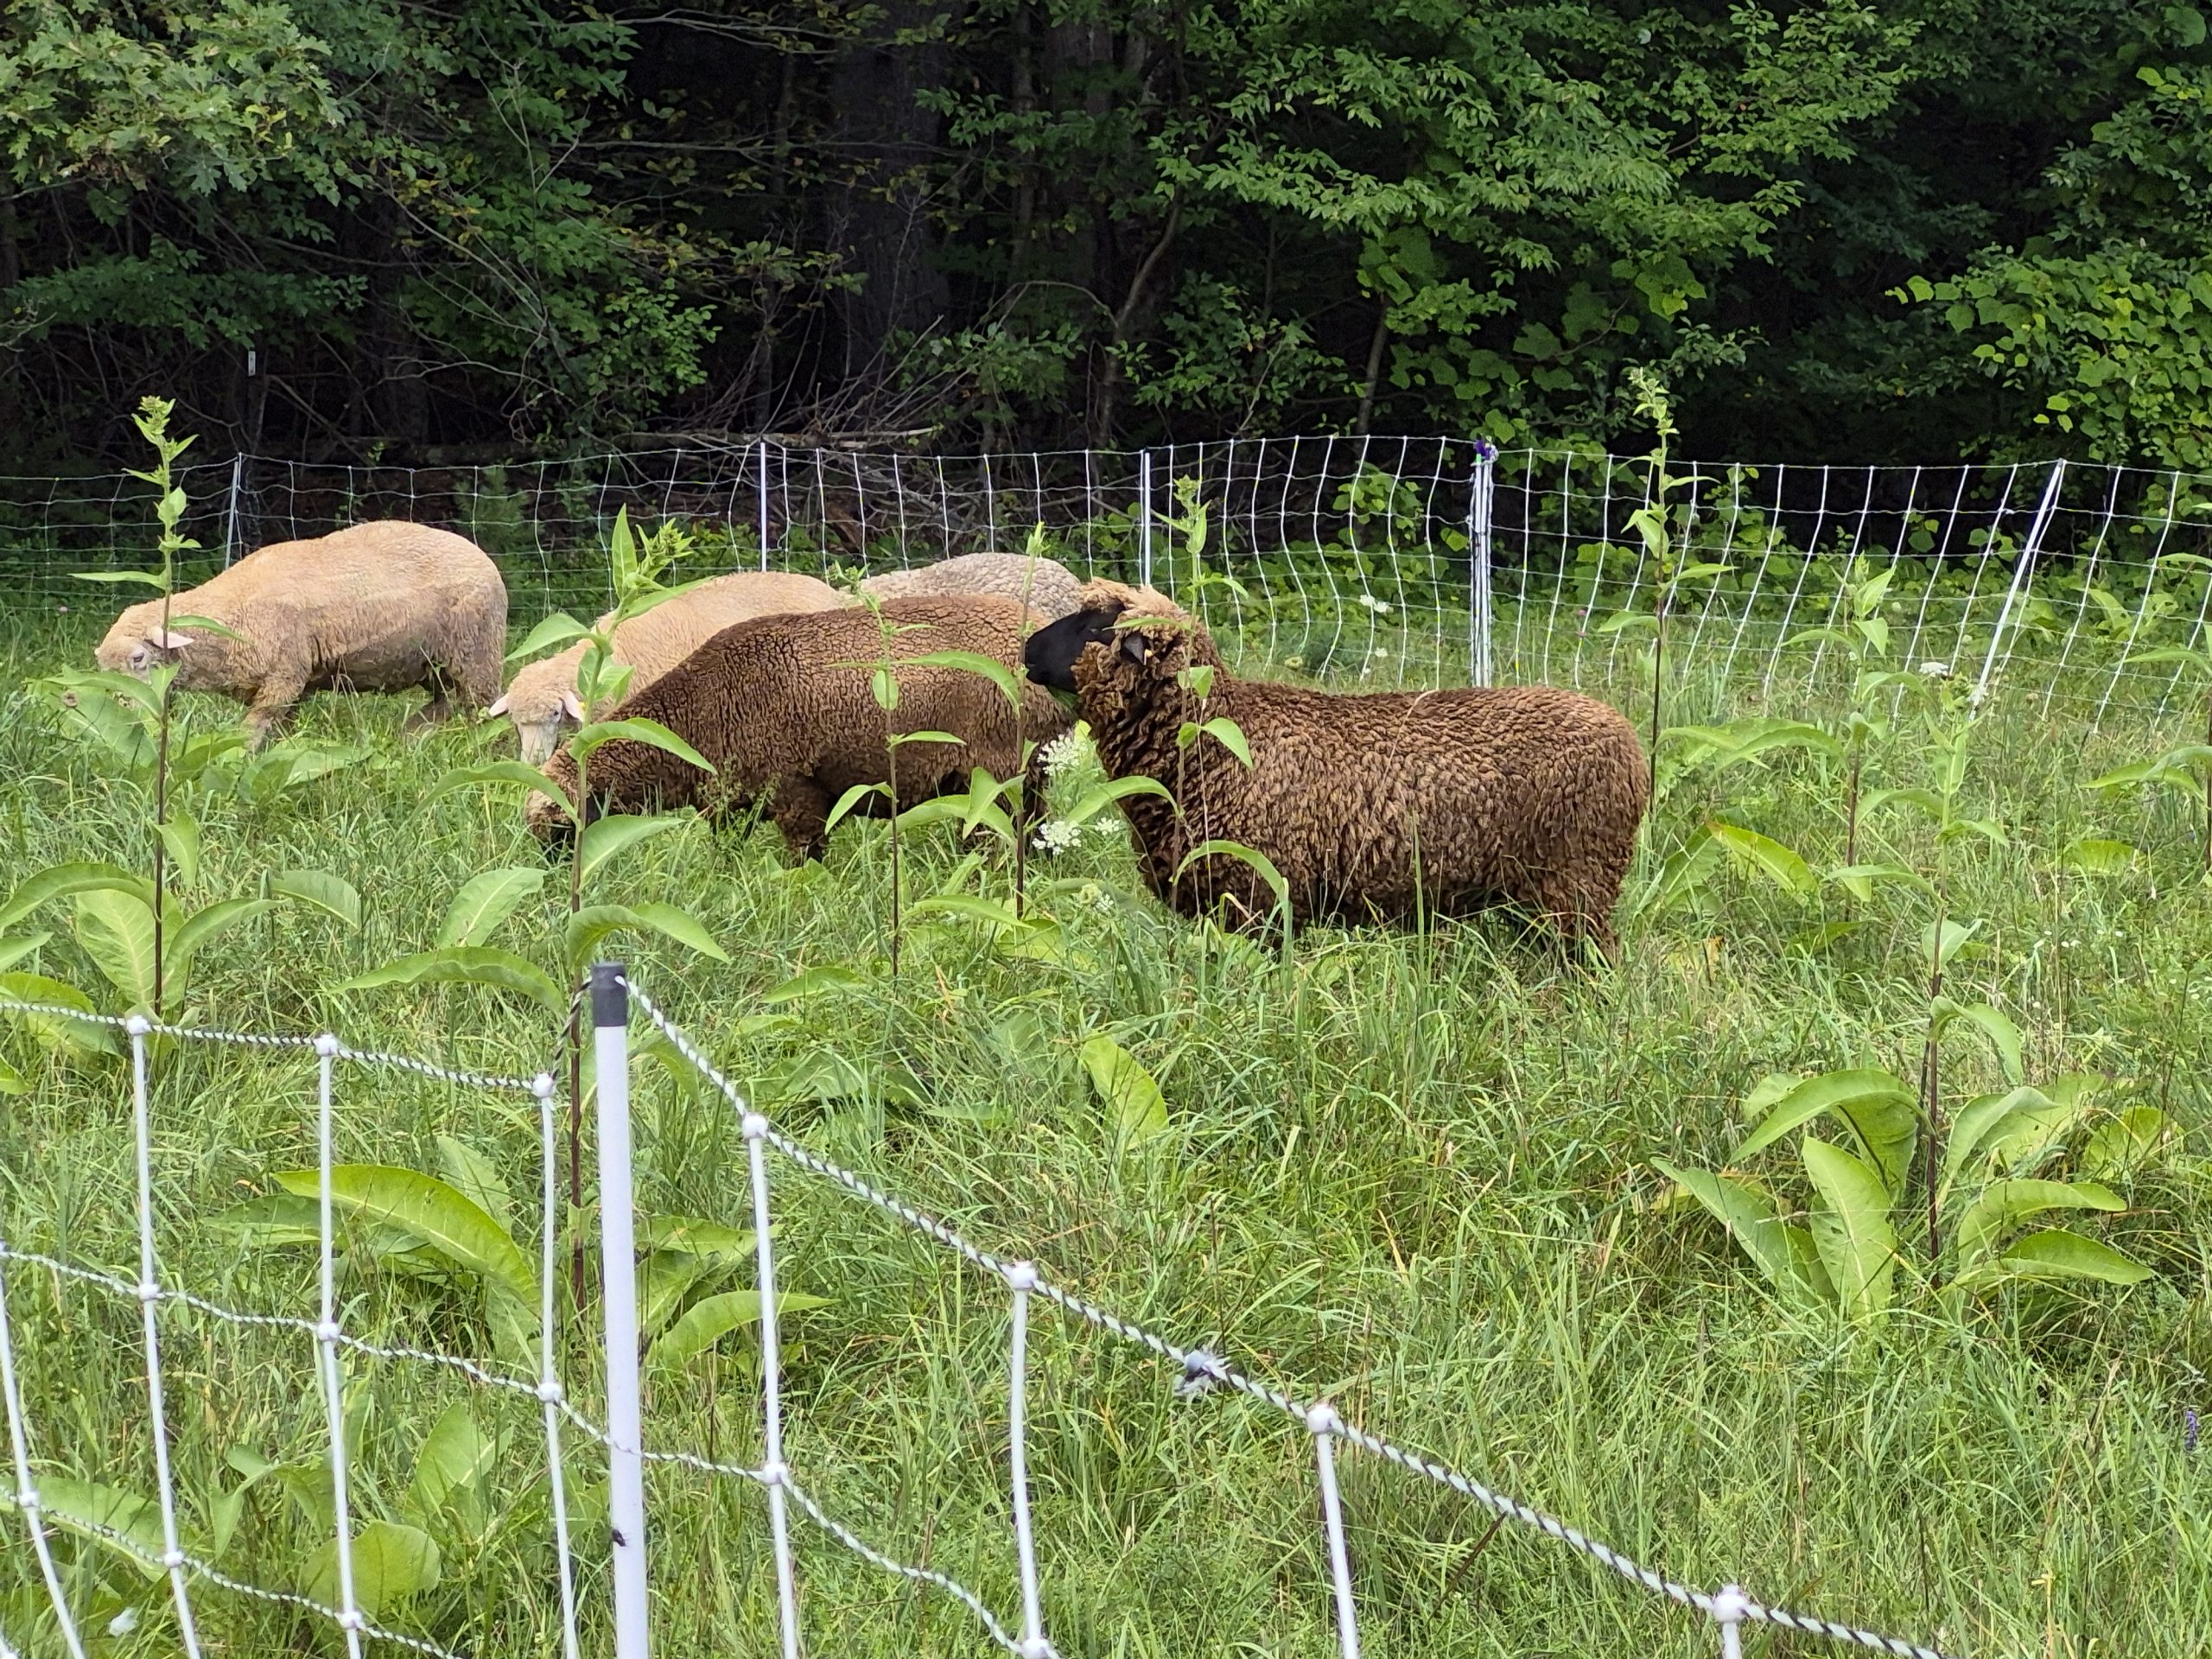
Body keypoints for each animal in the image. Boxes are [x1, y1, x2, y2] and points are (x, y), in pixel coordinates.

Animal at [94, 520, 506, 748]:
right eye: (100, 667)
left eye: (138, 657)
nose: (120, 711)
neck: (231, 613)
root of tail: (483, 557)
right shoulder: (288, 686)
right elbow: (278, 733)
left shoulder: (283, 677)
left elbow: (250, 733)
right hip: (434, 664)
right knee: (444, 706)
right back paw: (412, 740)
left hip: (478, 652)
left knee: (485, 712)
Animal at [527, 594, 1075, 859]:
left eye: (559, 831)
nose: (550, 883)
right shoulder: (730, 806)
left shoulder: (797, 791)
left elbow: (804, 858)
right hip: (1021, 773)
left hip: (998, 768)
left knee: (1003, 835)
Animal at [1021, 581, 1649, 953]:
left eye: (1093, 626)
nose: (1026, 650)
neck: (1213, 744)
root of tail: (1632, 744)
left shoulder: (1259, 905)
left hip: (1578, 882)